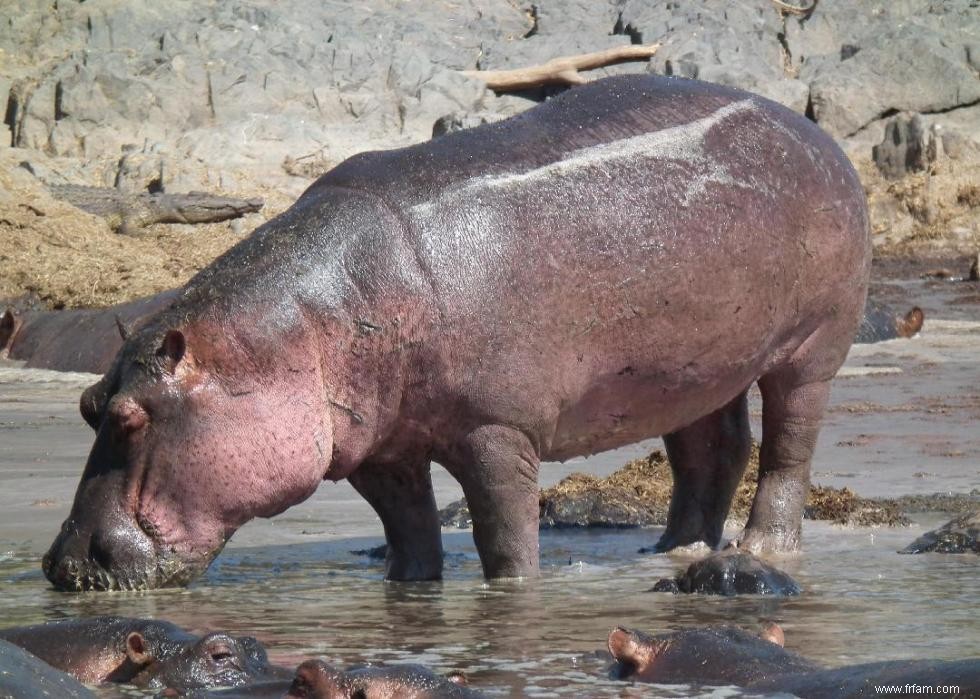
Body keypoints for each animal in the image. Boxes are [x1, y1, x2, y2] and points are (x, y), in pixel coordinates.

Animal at [42, 75, 868, 592]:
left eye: (130, 416)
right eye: (87, 404)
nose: (59, 562)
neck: (298, 328)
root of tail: (812, 130)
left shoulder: (497, 429)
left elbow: (503, 531)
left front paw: (512, 591)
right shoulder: (376, 445)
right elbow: (408, 527)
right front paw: (409, 590)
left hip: (812, 347)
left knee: (788, 449)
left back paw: (761, 547)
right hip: (694, 365)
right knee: (712, 449)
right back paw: (672, 548)